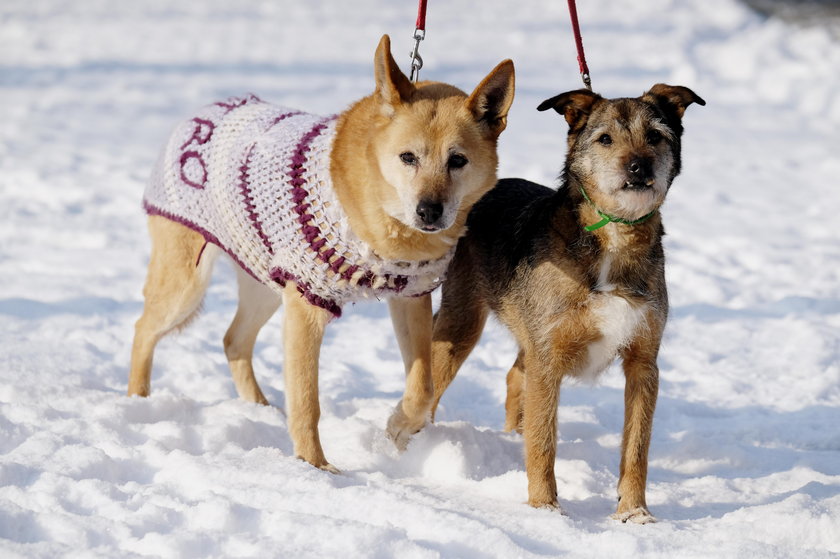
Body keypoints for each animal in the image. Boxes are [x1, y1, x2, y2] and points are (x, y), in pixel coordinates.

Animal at [129, 35, 516, 472]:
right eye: (408, 157)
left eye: (458, 160)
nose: (429, 212)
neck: (386, 223)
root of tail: (200, 113)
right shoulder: (306, 303)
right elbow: (306, 400)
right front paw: (314, 468)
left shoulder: (410, 297)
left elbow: (423, 386)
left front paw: (400, 426)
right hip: (187, 285)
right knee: (144, 330)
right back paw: (138, 401)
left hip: (263, 281)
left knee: (234, 340)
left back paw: (260, 409)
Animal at [430, 85, 704, 524]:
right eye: (605, 139)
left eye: (656, 136)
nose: (638, 167)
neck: (611, 237)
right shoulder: (548, 357)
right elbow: (544, 441)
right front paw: (545, 509)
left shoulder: (643, 362)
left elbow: (637, 447)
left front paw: (634, 513)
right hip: (463, 322)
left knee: (514, 375)